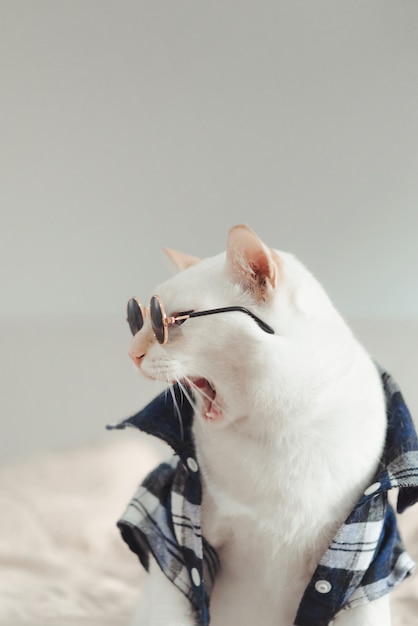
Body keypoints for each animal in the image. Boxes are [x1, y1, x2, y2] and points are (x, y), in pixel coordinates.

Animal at [124, 224, 398, 624]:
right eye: (137, 319)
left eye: (174, 319)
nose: (132, 353)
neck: (277, 432)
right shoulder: (174, 536)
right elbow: (173, 600)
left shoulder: (370, 562)